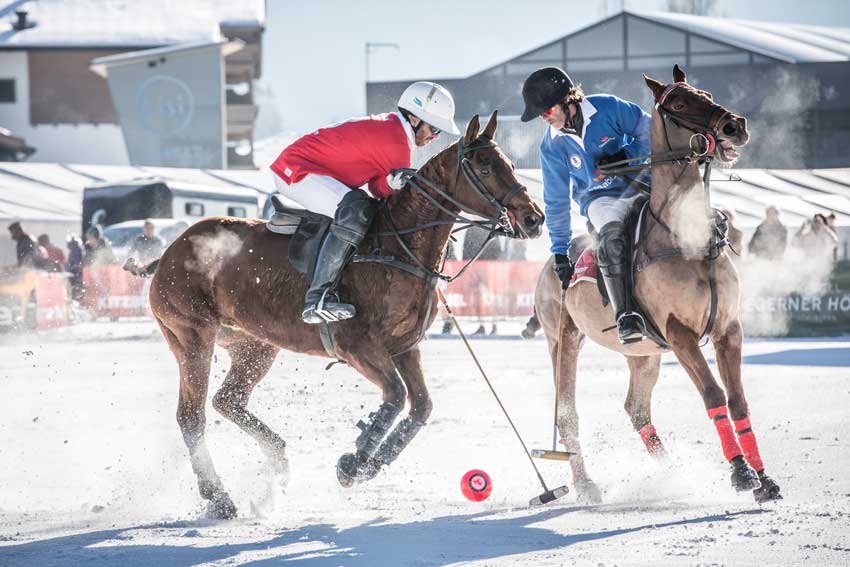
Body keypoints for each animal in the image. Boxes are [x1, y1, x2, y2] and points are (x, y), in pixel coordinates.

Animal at [146, 111, 544, 520]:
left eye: (512, 165)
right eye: (484, 166)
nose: (534, 219)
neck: (400, 245)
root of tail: (169, 253)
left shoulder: (404, 346)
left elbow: (420, 405)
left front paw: (369, 462)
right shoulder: (357, 345)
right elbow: (396, 395)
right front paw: (353, 463)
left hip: (254, 346)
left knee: (227, 400)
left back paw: (277, 463)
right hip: (193, 338)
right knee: (191, 416)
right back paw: (219, 498)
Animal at [532, 66, 780, 506]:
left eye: (706, 92)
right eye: (678, 103)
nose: (734, 126)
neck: (687, 238)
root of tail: (550, 261)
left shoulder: (728, 329)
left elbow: (738, 401)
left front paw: (764, 480)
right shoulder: (679, 334)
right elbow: (713, 395)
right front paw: (740, 474)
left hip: (644, 353)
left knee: (636, 408)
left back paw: (672, 472)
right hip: (562, 338)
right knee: (567, 412)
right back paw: (586, 485)